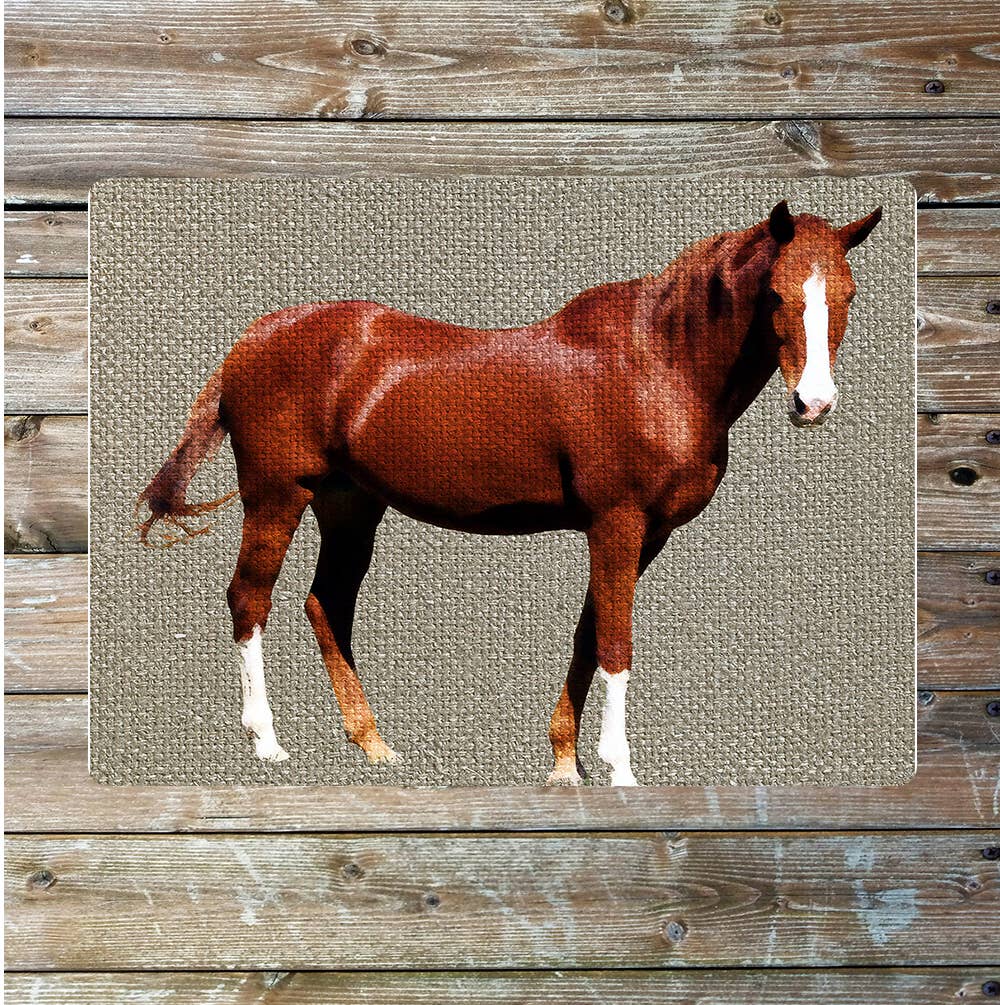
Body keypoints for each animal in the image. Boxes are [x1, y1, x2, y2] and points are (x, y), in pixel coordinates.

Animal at [137, 199, 881, 786]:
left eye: (847, 295)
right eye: (778, 295)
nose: (813, 403)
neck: (660, 363)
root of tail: (253, 339)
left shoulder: (643, 534)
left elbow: (588, 634)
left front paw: (565, 764)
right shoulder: (618, 522)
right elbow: (616, 644)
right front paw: (618, 768)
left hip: (350, 505)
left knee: (327, 605)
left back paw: (373, 743)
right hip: (277, 495)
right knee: (249, 601)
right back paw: (266, 741)